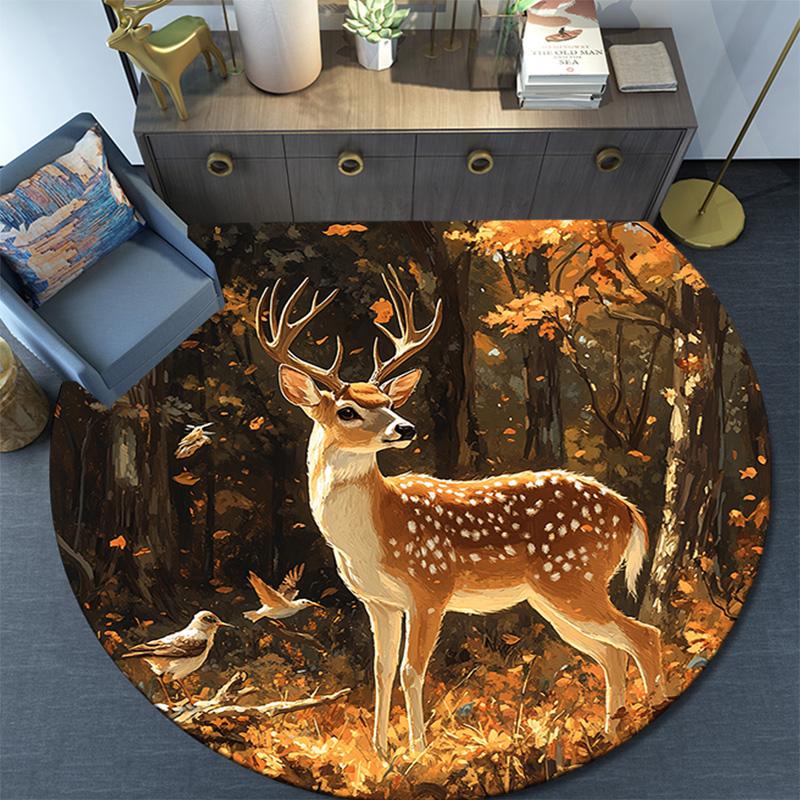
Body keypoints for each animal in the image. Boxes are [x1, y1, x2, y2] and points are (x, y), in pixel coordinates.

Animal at [254, 268, 666, 758]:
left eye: (389, 402)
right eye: (348, 410)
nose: (405, 428)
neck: (372, 533)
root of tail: (628, 511)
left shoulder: (431, 587)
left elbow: (412, 670)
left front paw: (418, 752)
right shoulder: (378, 601)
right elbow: (381, 671)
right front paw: (381, 753)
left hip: (574, 577)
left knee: (644, 637)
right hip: (555, 596)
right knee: (613, 652)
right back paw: (610, 731)